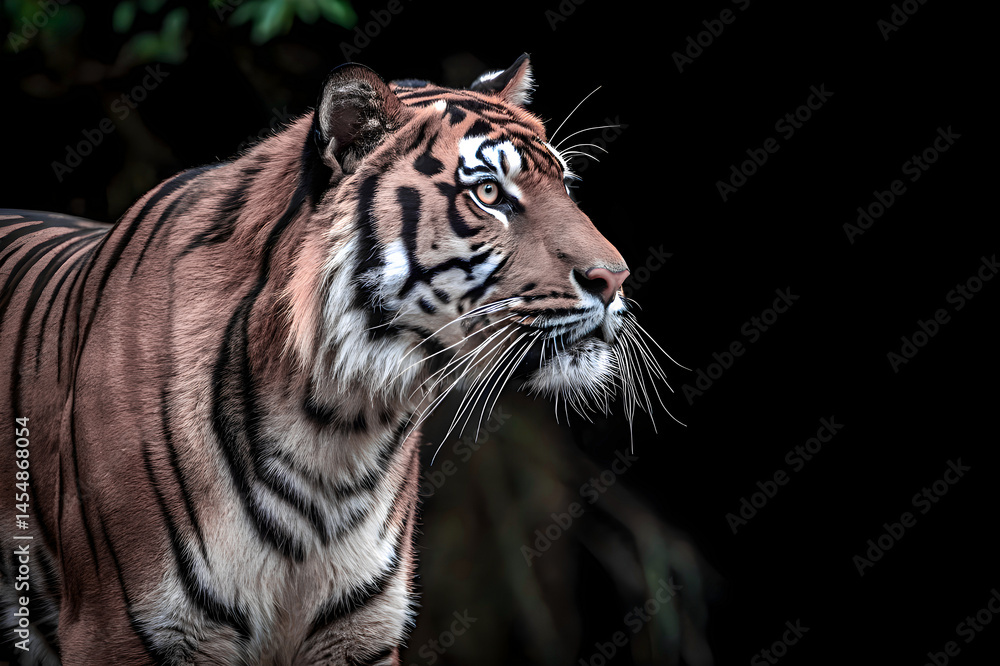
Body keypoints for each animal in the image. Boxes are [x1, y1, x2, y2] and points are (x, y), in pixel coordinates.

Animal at [0, 54, 672, 664]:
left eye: (565, 188)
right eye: (488, 193)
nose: (615, 278)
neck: (334, 422)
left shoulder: (359, 634)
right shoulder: (122, 628)